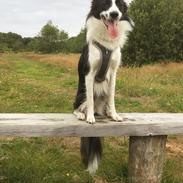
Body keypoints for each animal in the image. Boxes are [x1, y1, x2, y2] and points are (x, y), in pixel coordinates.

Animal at [73, 0, 133, 174]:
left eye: (119, 6)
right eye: (105, 4)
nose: (114, 14)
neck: (107, 43)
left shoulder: (113, 72)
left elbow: (112, 96)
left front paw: (114, 114)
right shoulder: (89, 73)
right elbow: (91, 99)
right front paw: (89, 118)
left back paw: (105, 113)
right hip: (80, 94)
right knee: (77, 107)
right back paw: (83, 114)